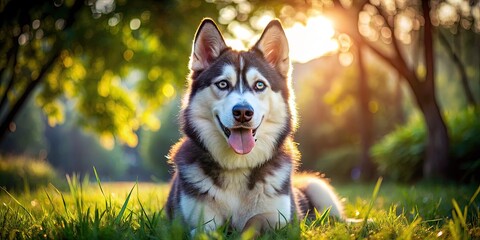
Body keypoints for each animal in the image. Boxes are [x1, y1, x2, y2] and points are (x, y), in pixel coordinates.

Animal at [166, 18, 344, 232]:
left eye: (259, 85)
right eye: (223, 84)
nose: (243, 112)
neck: (238, 166)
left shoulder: (279, 220)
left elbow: (254, 226)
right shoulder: (197, 220)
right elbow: (204, 230)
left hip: (317, 185)